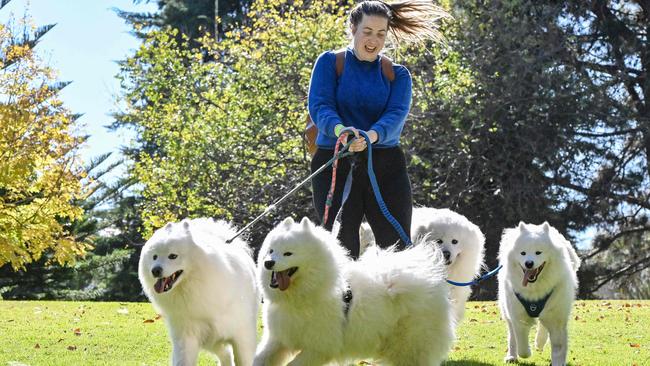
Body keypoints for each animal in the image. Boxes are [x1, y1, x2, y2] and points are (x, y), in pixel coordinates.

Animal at [139, 219, 258, 364]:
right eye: (154, 257)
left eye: (173, 256)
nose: (155, 270)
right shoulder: (187, 336)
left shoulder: (241, 334)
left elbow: (244, 359)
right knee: (226, 354)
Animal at [253, 217, 450, 366]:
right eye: (270, 251)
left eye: (288, 253)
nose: (268, 263)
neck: (299, 299)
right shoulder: (278, 337)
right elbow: (260, 358)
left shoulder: (319, 346)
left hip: (409, 347)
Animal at [498, 222, 580, 364]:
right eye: (523, 253)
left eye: (538, 252)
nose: (529, 263)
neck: (535, 289)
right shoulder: (518, 317)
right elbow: (522, 346)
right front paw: (526, 352)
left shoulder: (556, 318)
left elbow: (558, 348)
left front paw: (557, 362)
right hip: (507, 311)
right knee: (512, 336)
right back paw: (512, 356)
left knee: (542, 326)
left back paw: (539, 342)